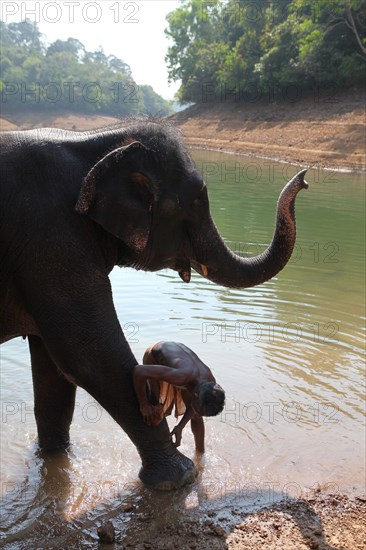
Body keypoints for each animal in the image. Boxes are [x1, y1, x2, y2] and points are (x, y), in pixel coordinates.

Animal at [0, 121, 308, 492]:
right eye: (195, 201)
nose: (304, 177)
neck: (99, 142)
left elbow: (53, 365)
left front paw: (57, 457)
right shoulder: (51, 239)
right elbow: (87, 353)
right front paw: (180, 478)